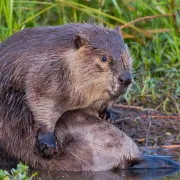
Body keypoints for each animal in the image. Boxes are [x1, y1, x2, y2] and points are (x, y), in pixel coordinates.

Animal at [0, 23, 132, 157]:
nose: (126, 79)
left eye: (125, 55)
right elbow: (39, 101)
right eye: (103, 58)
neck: (66, 58)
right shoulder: (45, 73)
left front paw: (108, 115)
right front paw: (48, 144)